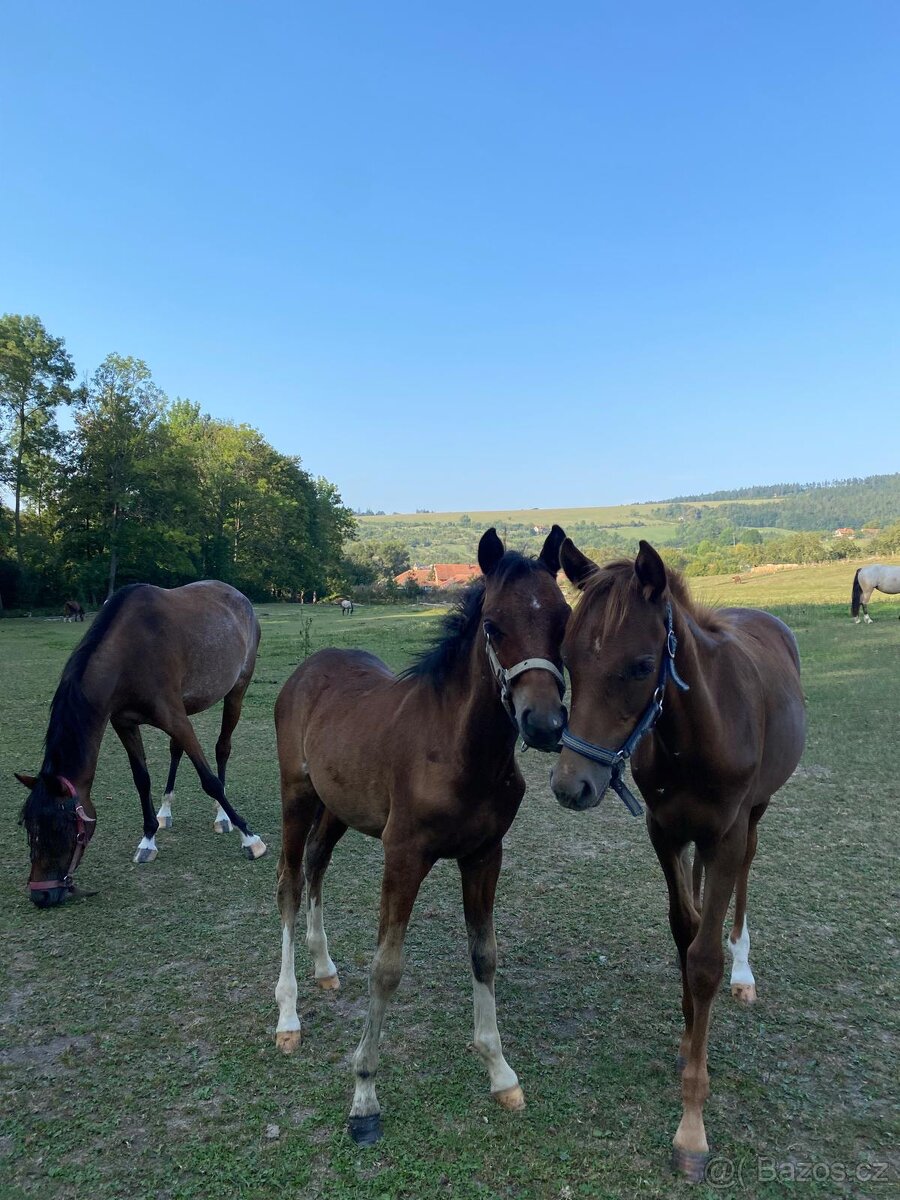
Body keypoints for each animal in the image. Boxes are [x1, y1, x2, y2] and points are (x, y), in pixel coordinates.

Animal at [17, 580, 267, 907]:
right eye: (28, 827)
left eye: (61, 827)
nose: (42, 896)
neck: (128, 652)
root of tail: (239, 596)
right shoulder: (125, 723)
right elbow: (142, 778)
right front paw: (148, 838)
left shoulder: (175, 718)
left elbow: (209, 780)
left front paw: (250, 837)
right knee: (176, 752)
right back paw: (166, 811)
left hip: (236, 690)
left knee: (222, 748)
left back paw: (222, 816)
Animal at [273, 527, 570, 1143]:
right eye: (493, 626)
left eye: (564, 620)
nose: (544, 724)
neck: (461, 751)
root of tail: (307, 669)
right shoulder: (404, 856)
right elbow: (386, 968)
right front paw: (364, 1096)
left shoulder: (484, 855)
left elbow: (484, 953)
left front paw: (500, 1072)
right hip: (297, 796)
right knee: (288, 882)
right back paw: (287, 1015)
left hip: (337, 809)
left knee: (315, 865)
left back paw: (324, 968)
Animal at [550, 540, 805, 1182]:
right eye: (566, 659)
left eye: (643, 666)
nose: (571, 785)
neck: (698, 731)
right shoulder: (663, 831)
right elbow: (682, 933)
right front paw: (691, 1039)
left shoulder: (728, 832)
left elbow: (705, 959)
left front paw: (692, 1128)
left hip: (755, 814)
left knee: (743, 877)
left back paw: (745, 972)